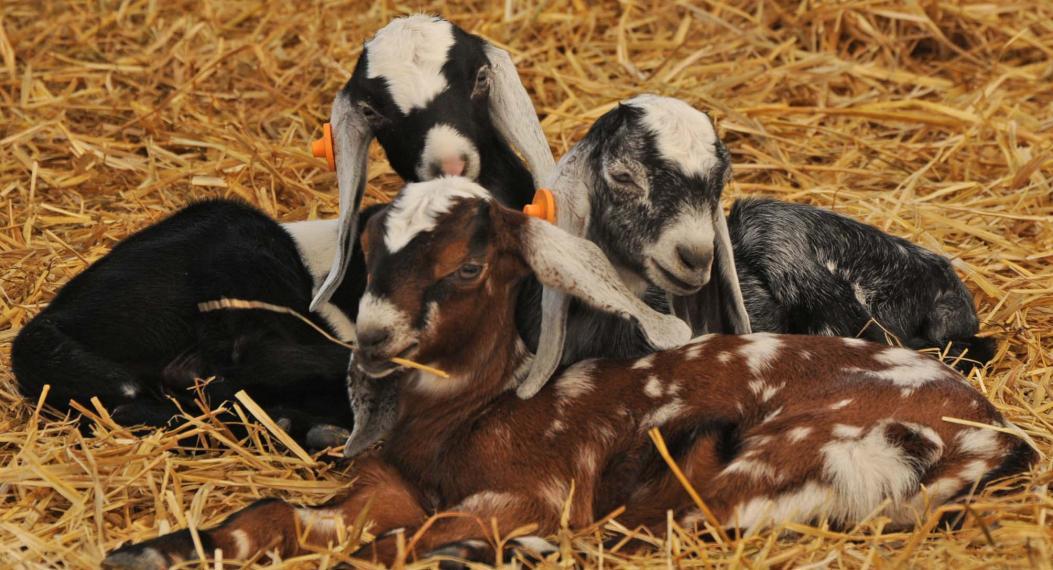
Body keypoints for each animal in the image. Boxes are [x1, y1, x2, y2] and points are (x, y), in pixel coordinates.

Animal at [12, 15, 551, 446]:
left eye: (479, 78)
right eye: (373, 109)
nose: (450, 165)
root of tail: (42, 330)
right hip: (229, 247)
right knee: (242, 359)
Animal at [102, 177, 1031, 564]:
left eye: (470, 265)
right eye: (372, 251)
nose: (373, 341)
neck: (461, 429)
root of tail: (991, 438)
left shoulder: (536, 488)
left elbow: (409, 542)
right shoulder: (382, 492)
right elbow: (276, 514)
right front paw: (150, 550)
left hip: (770, 459)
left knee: (636, 529)